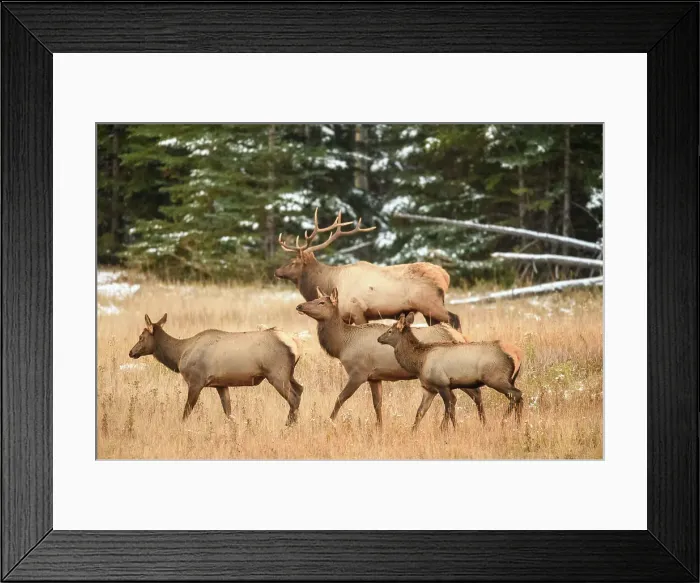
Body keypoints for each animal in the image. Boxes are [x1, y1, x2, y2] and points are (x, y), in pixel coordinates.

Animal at [128, 314, 304, 425]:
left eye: (141, 337)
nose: (131, 352)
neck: (179, 355)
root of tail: (296, 345)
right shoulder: (221, 384)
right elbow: (229, 413)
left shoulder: (196, 381)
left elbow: (186, 411)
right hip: (289, 374)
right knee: (300, 389)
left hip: (277, 374)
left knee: (293, 398)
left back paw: (288, 425)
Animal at [276, 208, 462, 331]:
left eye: (292, 261)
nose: (277, 271)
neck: (329, 282)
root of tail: (445, 276)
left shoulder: (358, 311)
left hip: (429, 302)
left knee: (454, 318)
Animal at [296, 288, 484, 427]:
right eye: (314, 299)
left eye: (321, 302)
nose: (299, 306)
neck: (342, 345)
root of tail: (458, 336)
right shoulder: (374, 377)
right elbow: (377, 404)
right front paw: (379, 428)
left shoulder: (358, 372)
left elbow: (340, 398)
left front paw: (329, 422)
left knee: (470, 394)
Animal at [377, 312, 524, 431]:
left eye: (390, 331)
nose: (379, 338)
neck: (418, 362)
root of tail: (518, 354)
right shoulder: (429, 389)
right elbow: (420, 411)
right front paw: (413, 432)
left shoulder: (442, 384)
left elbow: (449, 407)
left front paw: (444, 429)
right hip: (509, 379)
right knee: (518, 397)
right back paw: (518, 424)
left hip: (496, 378)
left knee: (516, 394)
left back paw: (504, 422)